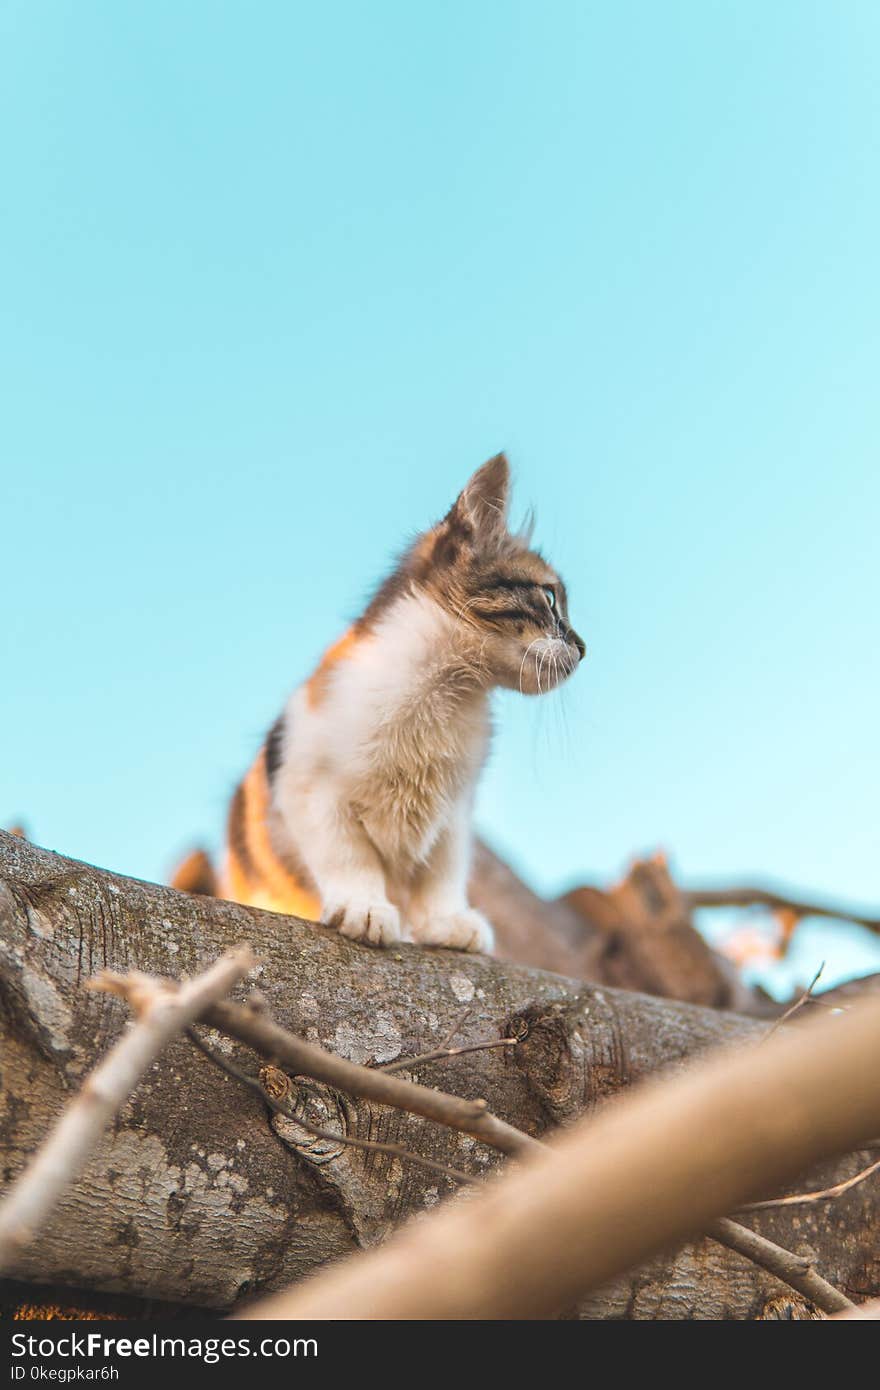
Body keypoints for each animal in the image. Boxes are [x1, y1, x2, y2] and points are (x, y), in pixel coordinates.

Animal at [218, 455, 583, 956]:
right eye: (549, 597)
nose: (585, 648)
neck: (445, 690)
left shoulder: (454, 813)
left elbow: (443, 872)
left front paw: (446, 921)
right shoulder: (309, 786)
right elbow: (348, 855)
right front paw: (365, 906)